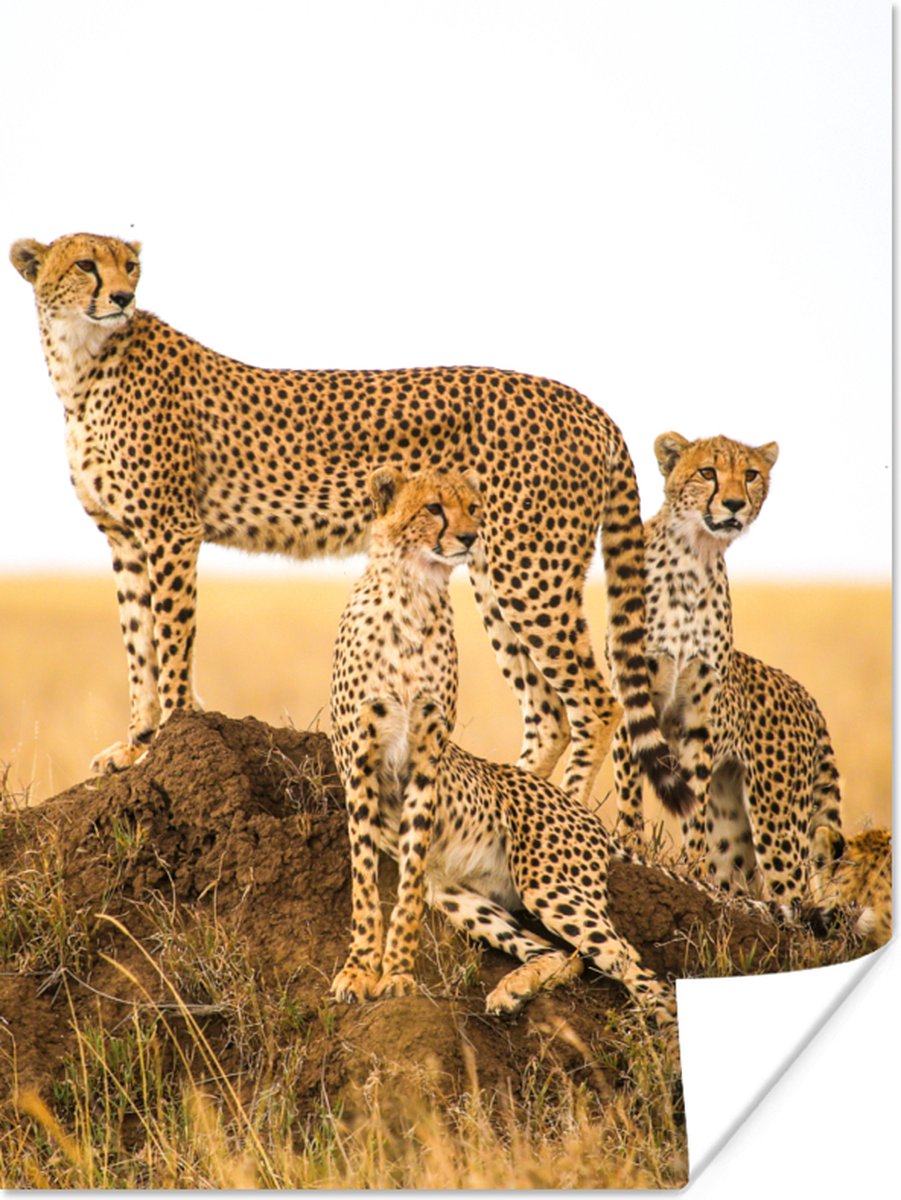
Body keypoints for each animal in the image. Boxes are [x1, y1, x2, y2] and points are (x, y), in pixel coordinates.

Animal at [10, 231, 690, 814]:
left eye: (131, 266)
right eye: (86, 264)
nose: (123, 298)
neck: (82, 363)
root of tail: (587, 404)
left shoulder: (170, 528)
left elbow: (171, 640)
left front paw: (169, 735)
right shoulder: (124, 536)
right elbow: (138, 646)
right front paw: (136, 744)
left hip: (530, 571)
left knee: (597, 702)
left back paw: (564, 809)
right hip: (492, 569)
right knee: (548, 711)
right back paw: (508, 800)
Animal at [328, 466, 784, 1027]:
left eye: (473, 508)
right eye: (433, 507)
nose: (470, 538)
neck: (413, 593)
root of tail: (583, 814)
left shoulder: (425, 761)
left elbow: (406, 886)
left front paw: (395, 977)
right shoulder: (360, 765)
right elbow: (365, 883)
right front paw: (359, 972)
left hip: (552, 886)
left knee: (627, 960)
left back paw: (654, 1022)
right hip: (462, 896)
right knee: (564, 955)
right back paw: (513, 991)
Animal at [610, 432, 845, 910]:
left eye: (751, 474)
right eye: (707, 472)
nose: (734, 503)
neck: (694, 557)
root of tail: (805, 693)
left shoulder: (698, 719)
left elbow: (692, 804)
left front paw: (691, 871)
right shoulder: (632, 696)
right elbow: (629, 791)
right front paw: (630, 847)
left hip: (776, 816)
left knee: (792, 894)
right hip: (743, 823)